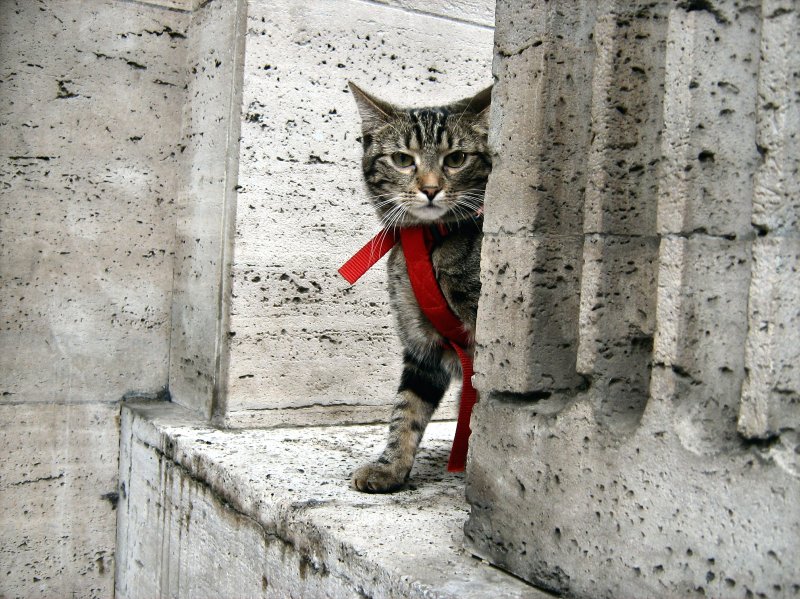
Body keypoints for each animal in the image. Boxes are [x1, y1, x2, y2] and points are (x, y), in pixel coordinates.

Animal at [350, 82, 494, 494]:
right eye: (402, 159)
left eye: (456, 158)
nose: (430, 189)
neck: (426, 241)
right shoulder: (421, 343)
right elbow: (406, 409)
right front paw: (390, 468)